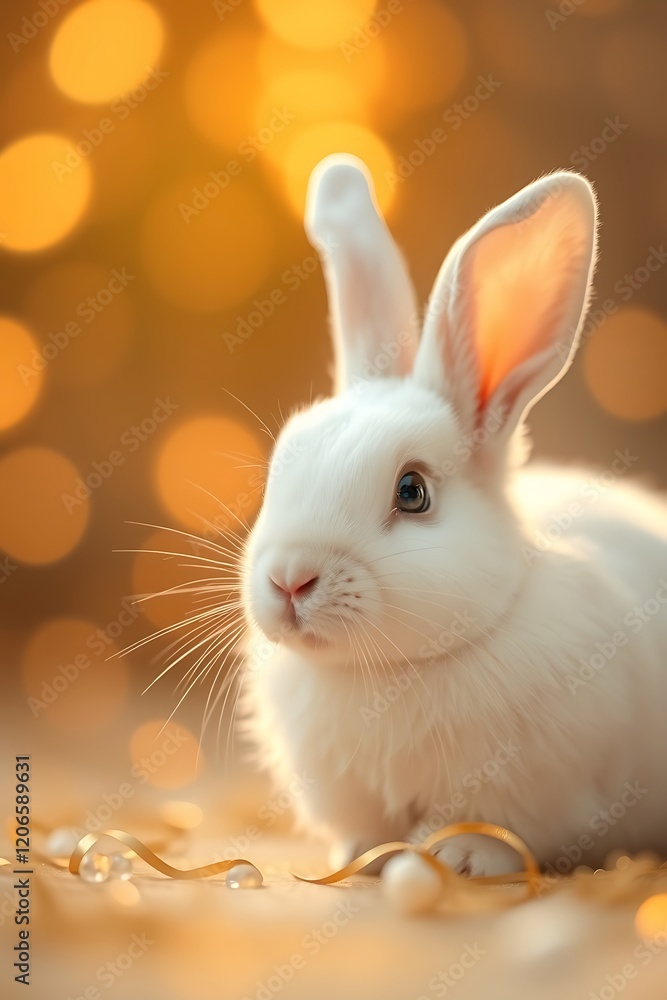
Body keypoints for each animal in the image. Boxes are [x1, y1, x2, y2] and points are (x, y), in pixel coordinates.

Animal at [239, 154, 667, 878]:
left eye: (412, 492)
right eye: (281, 465)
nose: (290, 579)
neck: (387, 672)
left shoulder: (543, 790)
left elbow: (498, 828)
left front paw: (462, 859)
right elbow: (366, 829)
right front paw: (362, 855)